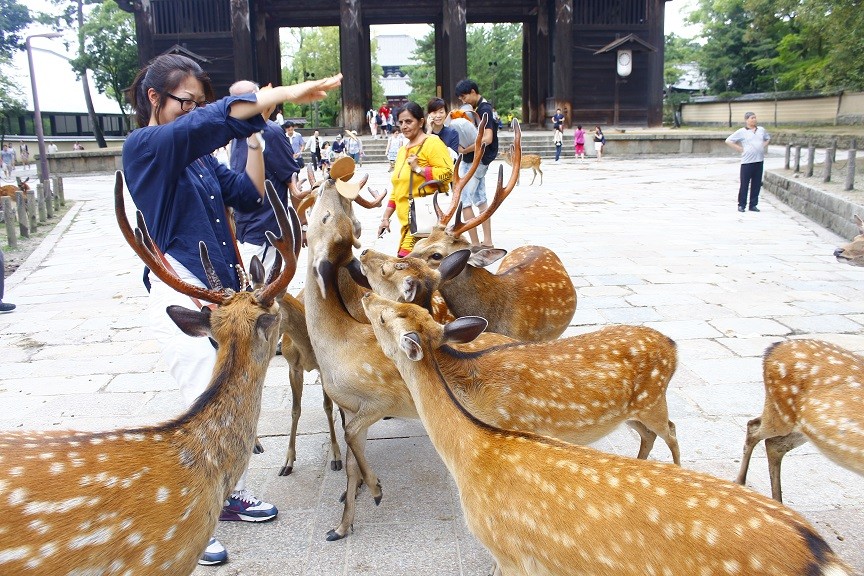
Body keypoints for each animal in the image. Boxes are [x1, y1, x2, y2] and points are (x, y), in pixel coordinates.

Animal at [362, 292, 852, 576]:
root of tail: (821, 555)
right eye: (405, 310)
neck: (472, 450)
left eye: (387, 318)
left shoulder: (511, 552)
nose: (365, 297)